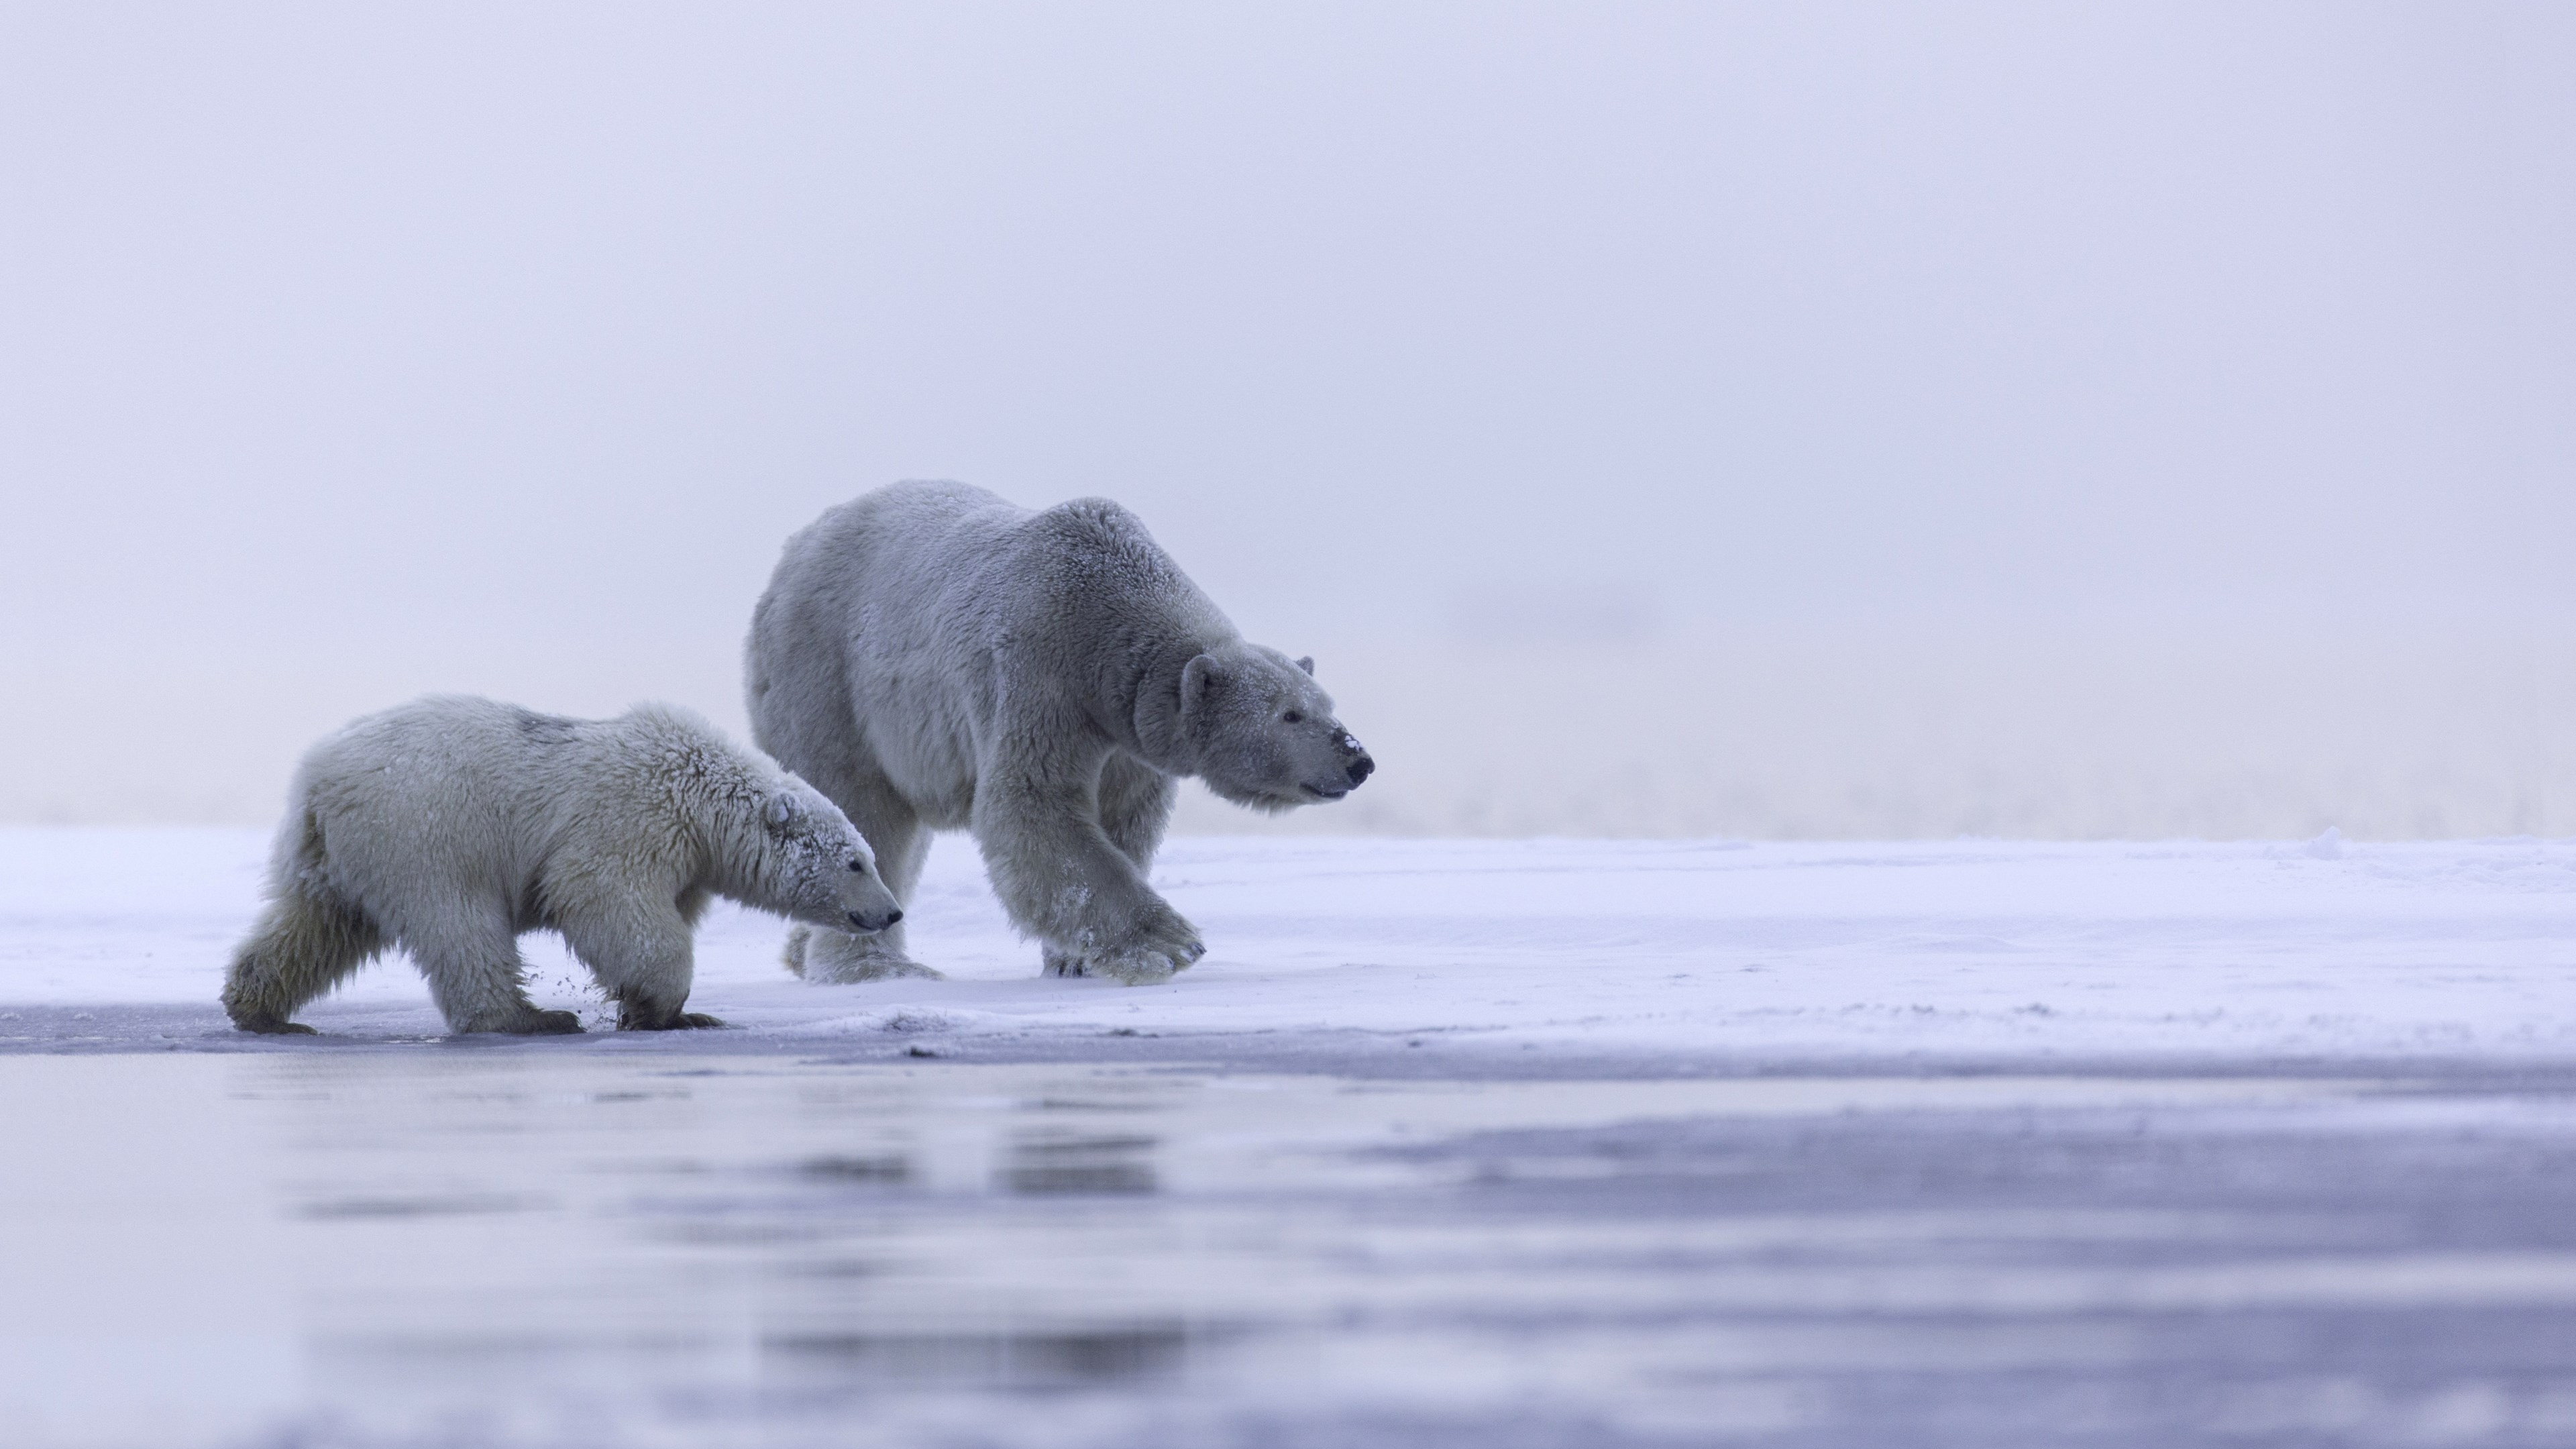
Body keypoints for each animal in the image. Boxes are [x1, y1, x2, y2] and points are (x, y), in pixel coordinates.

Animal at [747, 482, 1370, 979]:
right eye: (1290, 714)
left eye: (1327, 704)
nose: (1358, 760)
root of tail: (790, 554)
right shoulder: (1041, 669)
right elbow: (1033, 805)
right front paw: (1168, 944)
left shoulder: (1127, 733)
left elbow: (1123, 817)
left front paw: (1074, 960)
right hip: (830, 680)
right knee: (861, 807)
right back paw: (876, 966)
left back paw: (802, 955)